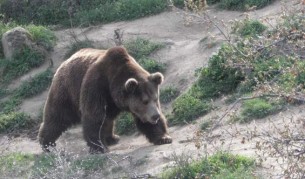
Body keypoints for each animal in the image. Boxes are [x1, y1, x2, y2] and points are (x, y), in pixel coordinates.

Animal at [38, 46, 171, 152]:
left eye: (155, 98)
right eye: (145, 101)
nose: (155, 116)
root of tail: (64, 62)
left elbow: (145, 121)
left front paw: (164, 138)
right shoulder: (97, 86)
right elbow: (94, 116)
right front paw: (99, 147)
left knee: (108, 118)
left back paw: (112, 138)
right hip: (67, 90)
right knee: (58, 116)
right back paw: (47, 144)